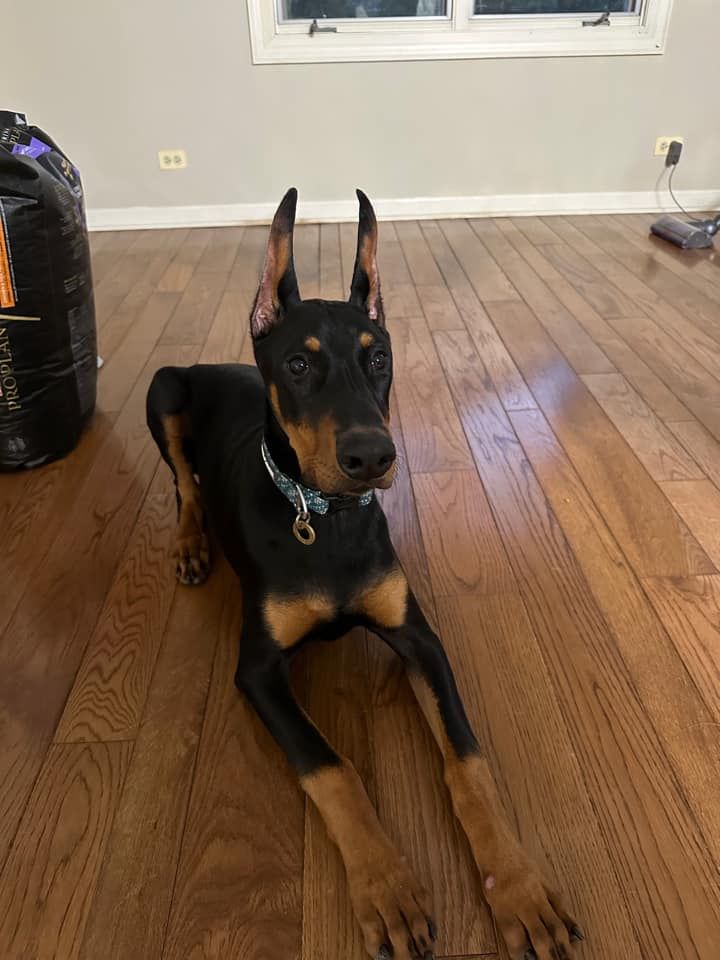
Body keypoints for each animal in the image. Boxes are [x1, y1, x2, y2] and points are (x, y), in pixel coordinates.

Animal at [146, 189, 584, 960]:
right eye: (298, 364)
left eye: (378, 357)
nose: (372, 457)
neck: (325, 517)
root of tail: (214, 364)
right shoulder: (258, 670)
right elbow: (332, 767)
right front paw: (388, 887)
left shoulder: (418, 638)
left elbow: (468, 762)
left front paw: (520, 889)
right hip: (164, 390)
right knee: (185, 488)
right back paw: (192, 546)